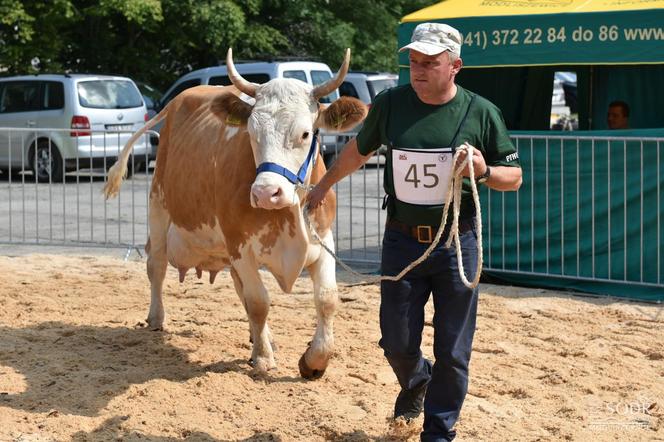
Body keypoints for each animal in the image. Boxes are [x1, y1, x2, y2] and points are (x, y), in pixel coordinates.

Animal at [102, 50, 368, 378]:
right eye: (251, 133)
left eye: (306, 133)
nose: (266, 193)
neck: (287, 215)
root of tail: (180, 99)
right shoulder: (240, 245)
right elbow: (258, 301)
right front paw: (264, 358)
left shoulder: (324, 240)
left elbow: (327, 299)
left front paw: (313, 360)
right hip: (159, 206)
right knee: (157, 264)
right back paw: (156, 318)